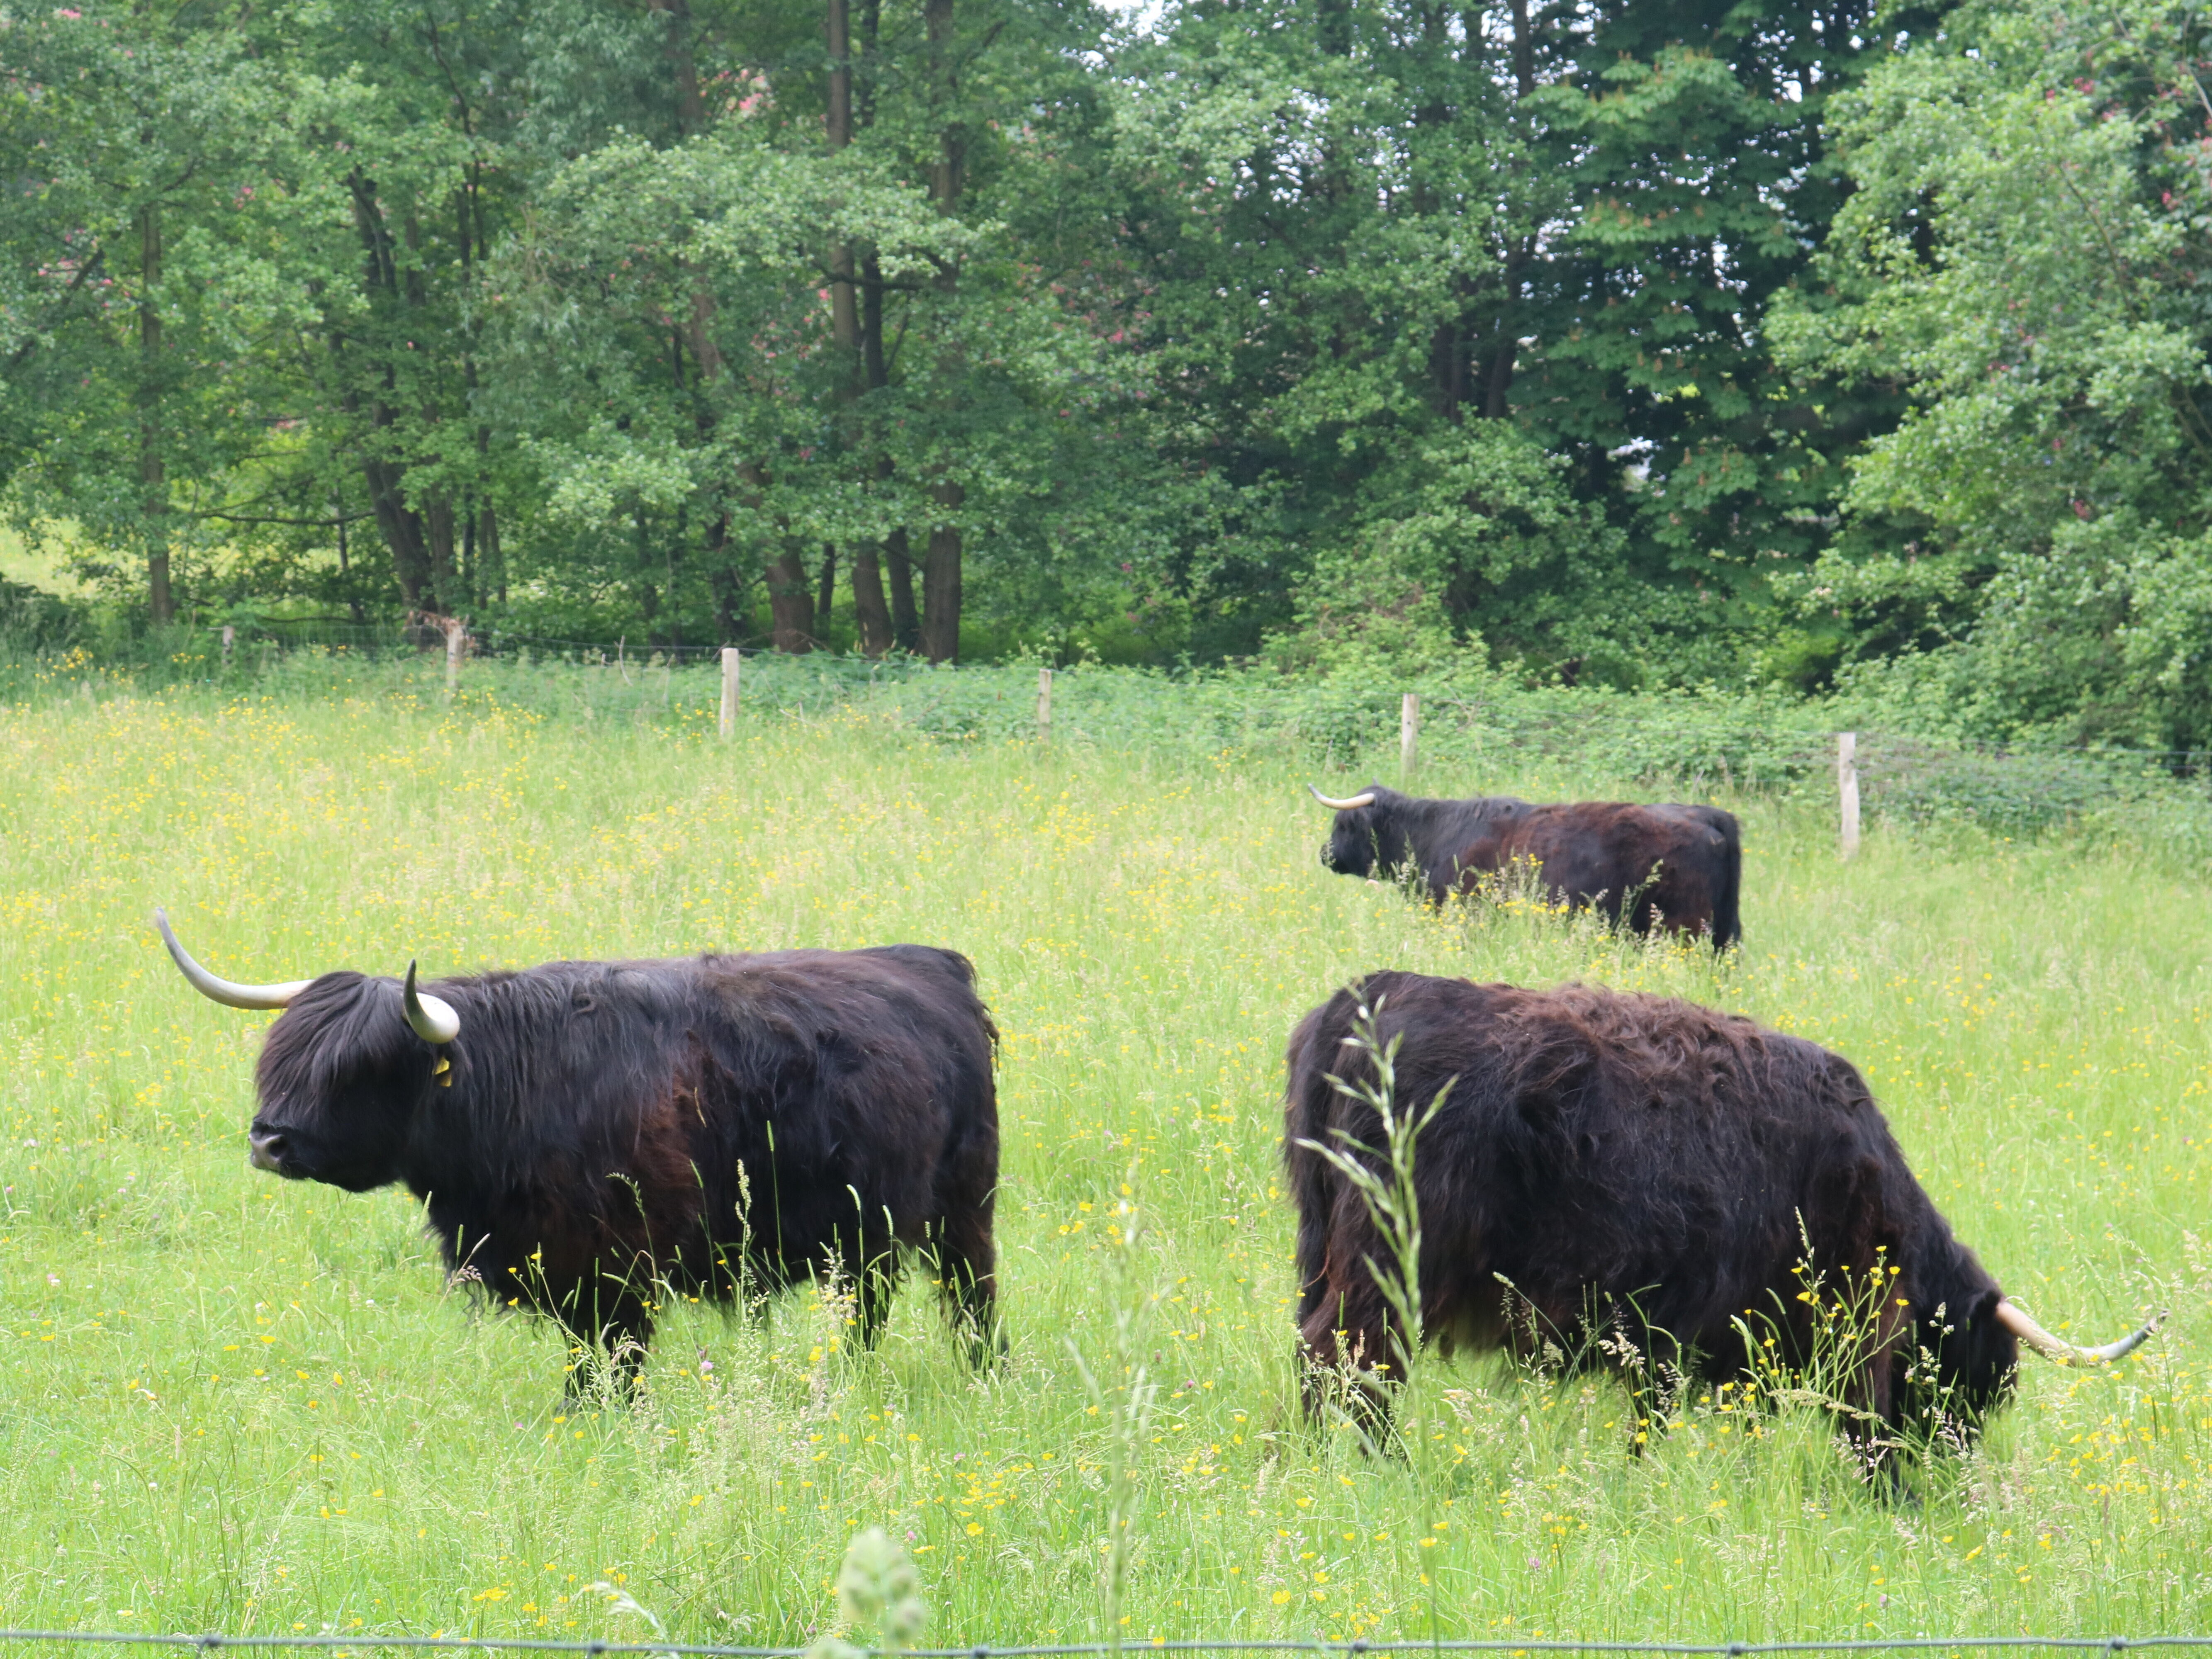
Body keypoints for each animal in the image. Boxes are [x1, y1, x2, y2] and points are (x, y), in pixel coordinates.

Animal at [147, 911, 995, 1389]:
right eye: (278, 1060)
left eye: (359, 1070)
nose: (269, 1140)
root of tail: (926, 961)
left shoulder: (618, 1259)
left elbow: (614, 1354)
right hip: (865, 1231)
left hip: (959, 1206)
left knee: (965, 1296)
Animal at [1292, 787, 1743, 956]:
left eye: (1343, 825)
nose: (1324, 854)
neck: (1435, 835)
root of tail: (1708, 815)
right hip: (1723, 930)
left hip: (1681, 927)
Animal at [1292, 973, 2168, 1469]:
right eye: (1958, 1373)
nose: (1932, 1482)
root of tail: (1365, 997)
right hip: (1389, 1268)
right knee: (1351, 1363)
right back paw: (1377, 1469)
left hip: (1326, 1255)